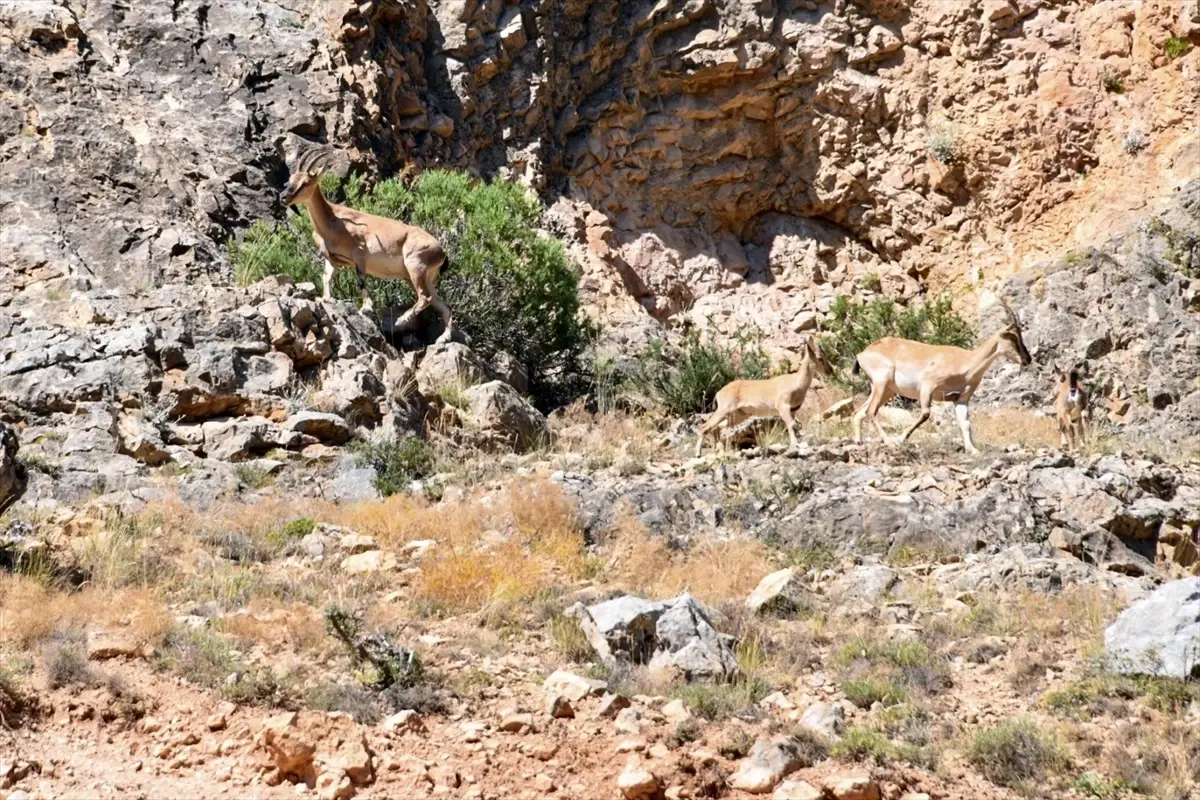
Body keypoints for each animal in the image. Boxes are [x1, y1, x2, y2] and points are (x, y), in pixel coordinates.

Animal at [280, 148, 453, 343]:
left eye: (306, 182)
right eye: (291, 179)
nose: (284, 197)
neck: (332, 221)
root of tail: (442, 252)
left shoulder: (360, 256)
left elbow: (360, 280)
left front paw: (366, 308)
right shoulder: (332, 260)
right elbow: (327, 278)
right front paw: (327, 299)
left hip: (415, 267)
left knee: (424, 297)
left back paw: (401, 320)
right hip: (424, 277)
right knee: (442, 305)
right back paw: (443, 338)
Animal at [849, 302, 1036, 453]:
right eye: (1013, 336)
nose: (1027, 359)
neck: (965, 361)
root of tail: (863, 353)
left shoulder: (960, 399)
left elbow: (965, 423)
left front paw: (973, 450)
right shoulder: (927, 387)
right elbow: (925, 414)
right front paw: (901, 439)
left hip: (886, 390)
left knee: (860, 412)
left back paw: (858, 442)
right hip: (882, 383)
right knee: (871, 411)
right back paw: (889, 442)